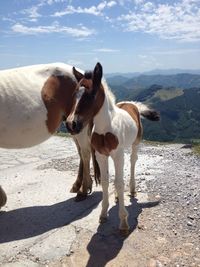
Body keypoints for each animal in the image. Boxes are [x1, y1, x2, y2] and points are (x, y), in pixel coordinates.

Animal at [0, 62, 99, 209]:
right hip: (72, 125)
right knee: (81, 152)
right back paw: (78, 186)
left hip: (80, 124)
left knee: (85, 153)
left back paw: (82, 190)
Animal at [66, 62, 160, 234]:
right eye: (74, 94)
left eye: (91, 95)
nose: (71, 124)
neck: (105, 128)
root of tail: (132, 103)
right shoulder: (101, 155)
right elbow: (105, 182)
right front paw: (103, 214)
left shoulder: (117, 154)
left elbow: (119, 182)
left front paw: (123, 221)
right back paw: (117, 195)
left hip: (134, 145)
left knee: (132, 162)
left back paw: (132, 189)